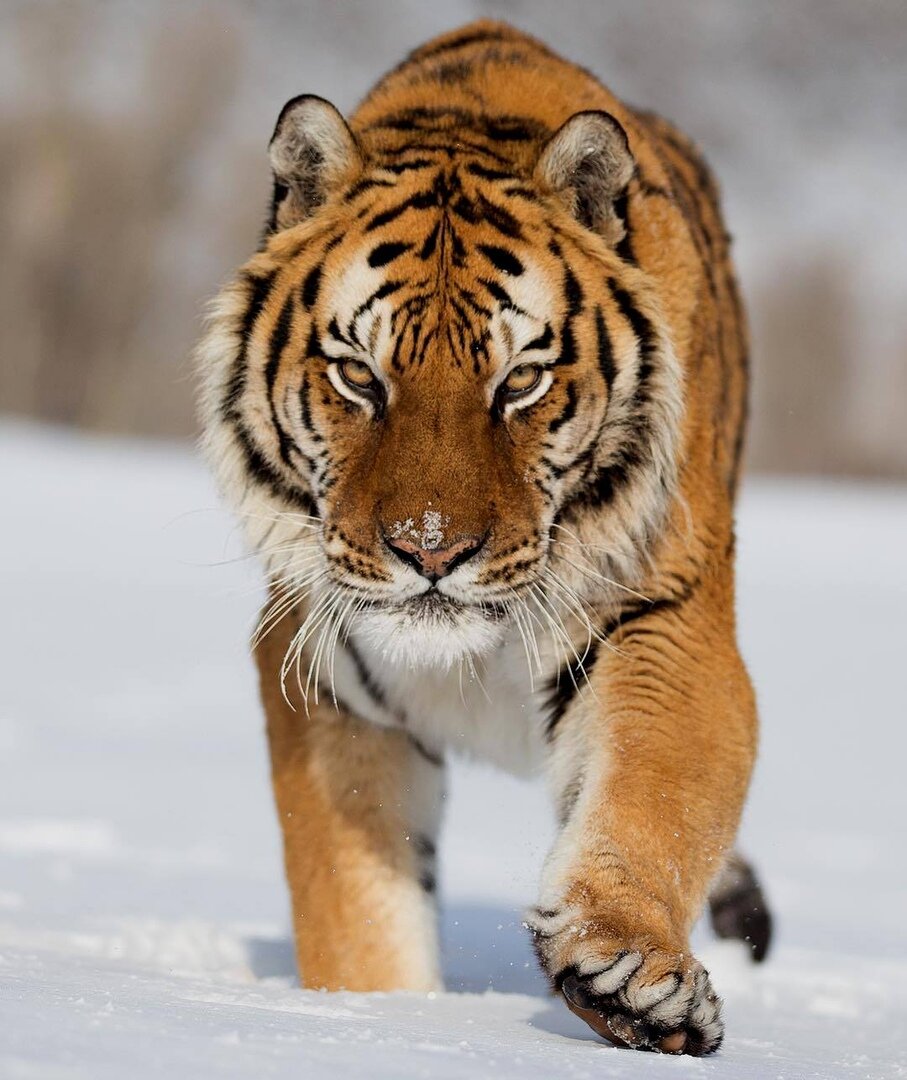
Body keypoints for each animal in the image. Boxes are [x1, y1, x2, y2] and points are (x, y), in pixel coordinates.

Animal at [197, 20, 772, 1056]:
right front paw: (374, 1017)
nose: (429, 550)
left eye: (520, 382)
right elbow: (358, 902)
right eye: (358, 376)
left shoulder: (669, 621)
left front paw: (629, 975)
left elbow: (654, 799)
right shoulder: (317, 668)